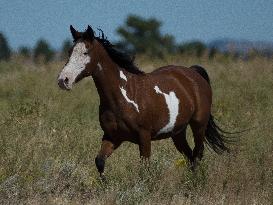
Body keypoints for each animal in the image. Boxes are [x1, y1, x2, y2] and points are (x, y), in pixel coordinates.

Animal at [57, 25, 230, 176]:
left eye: (85, 52)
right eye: (70, 51)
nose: (63, 80)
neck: (123, 97)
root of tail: (193, 73)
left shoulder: (144, 137)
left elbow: (144, 169)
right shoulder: (112, 137)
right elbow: (100, 161)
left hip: (199, 124)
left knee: (198, 153)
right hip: (178, 132)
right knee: (190, 156)